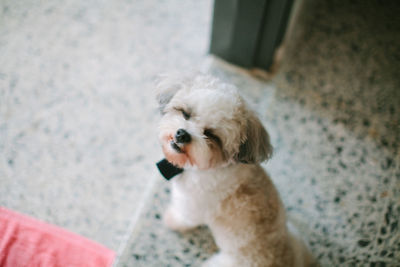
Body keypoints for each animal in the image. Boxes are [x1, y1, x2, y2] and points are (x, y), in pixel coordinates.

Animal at [155, 74, 314, 267]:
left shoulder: (192, 206)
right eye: (186, 113)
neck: (207, 167)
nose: (182, 134)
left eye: (211, 135)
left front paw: (171, 219)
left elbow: (184, 217)